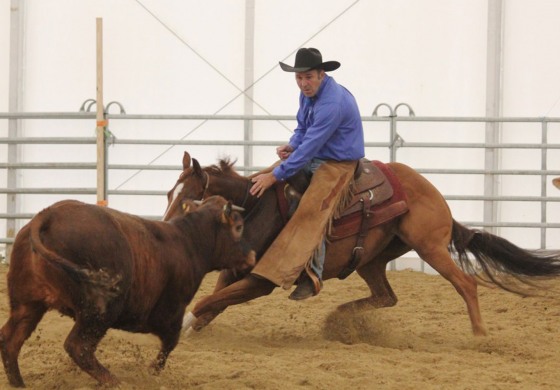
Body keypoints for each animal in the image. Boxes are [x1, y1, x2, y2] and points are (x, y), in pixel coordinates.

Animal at [0, 195, 256, 386]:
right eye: (238, 227)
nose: (252, 255)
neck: (188, 242)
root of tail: (49, 214)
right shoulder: (171, 314)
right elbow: (169, 345)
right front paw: (151, 373)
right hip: (98, 313)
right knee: (79, 347)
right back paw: (115, 382)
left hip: (28, 305)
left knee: (10, 340)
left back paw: (18, 383)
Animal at [164, 151, 560, 336]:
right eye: (169, 194)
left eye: (188, 202)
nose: (165, 232)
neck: (257, 207)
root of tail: (434, 195)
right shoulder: (235, 271)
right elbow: (212, 304)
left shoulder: (261, 280)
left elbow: (206, 303)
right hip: (372, 260)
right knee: (387, 296)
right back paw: (340, 318)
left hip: (431, 247)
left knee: (466, 283)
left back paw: (480, 336)